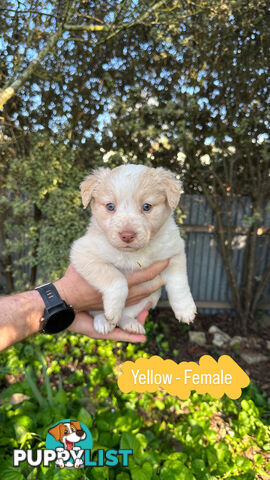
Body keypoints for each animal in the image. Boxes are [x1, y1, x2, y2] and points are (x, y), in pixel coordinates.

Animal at [69, 164, 196, 334]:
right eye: (110, 206)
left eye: (147, 206)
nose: (127, 235)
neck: (134, 253)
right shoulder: (83, 253)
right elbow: (116, 279)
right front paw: (112, 312)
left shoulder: (175, 252)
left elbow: (179, 283)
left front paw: (186, 310)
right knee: (97, 313)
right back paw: (104, 322)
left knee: (126, 316)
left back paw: (131, 325)